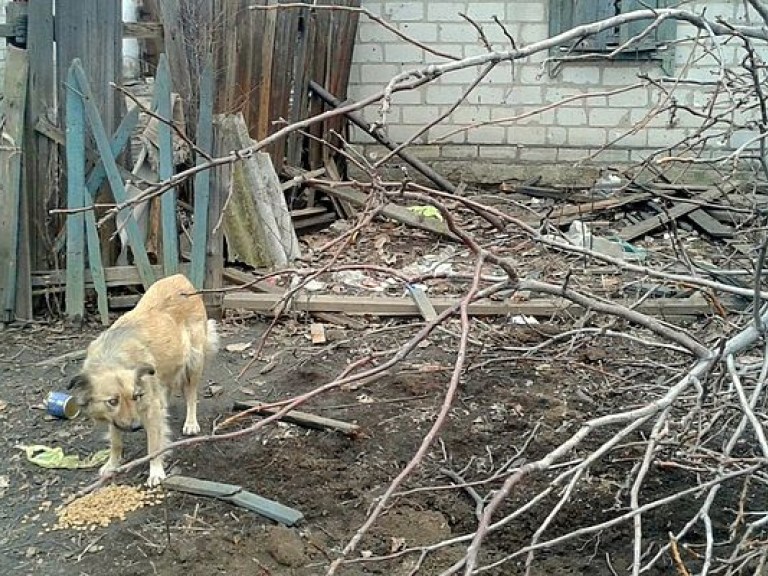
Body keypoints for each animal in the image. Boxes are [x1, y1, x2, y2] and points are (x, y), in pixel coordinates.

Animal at [68, 274, 219, 486]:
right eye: (112, 401)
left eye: (136, 397)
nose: (136, 427)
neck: (112, 358)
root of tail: (180, 277)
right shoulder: (115, 417)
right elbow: (115, 441)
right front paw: (112, 464)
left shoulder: (151, 408)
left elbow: (154, 445)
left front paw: (155, 472)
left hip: (194, 362)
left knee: (190, 395)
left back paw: (190, 423)